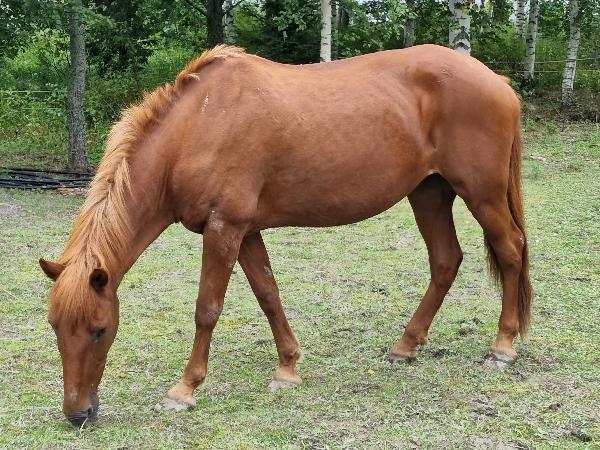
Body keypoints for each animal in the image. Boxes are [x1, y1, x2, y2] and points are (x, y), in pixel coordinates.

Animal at [40, 44, 531, 425]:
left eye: (100, 329)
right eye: (55, 327)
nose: (77, 414)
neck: (198, 126)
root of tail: (498, 81)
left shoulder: (224, 228)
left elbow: (207, 309)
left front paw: (184, 389)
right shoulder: (246, 231)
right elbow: (268, 293)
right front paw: (288, 366)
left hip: (482, 194)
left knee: (510, 250)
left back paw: (503, 346)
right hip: (429, 193)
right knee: (446, 261)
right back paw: (406, 346)